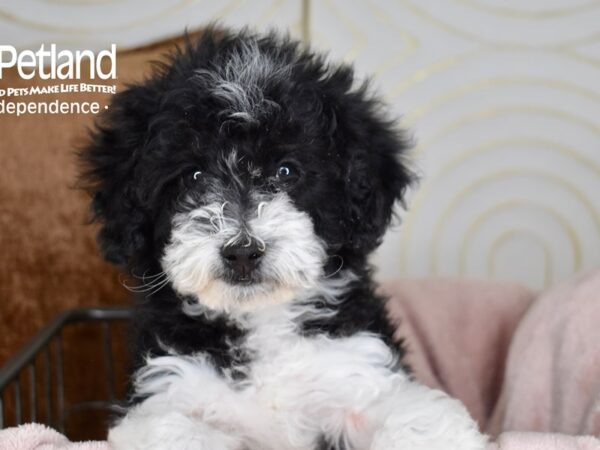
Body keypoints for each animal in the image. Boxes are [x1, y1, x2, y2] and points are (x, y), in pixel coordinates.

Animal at [81, 27, 488, 450]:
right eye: (193, 176)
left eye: (287, 170)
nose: (243, 252)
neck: (262, 320)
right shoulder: (167, 387)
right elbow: (176, 430)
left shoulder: (355, 366)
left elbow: (421, 418)